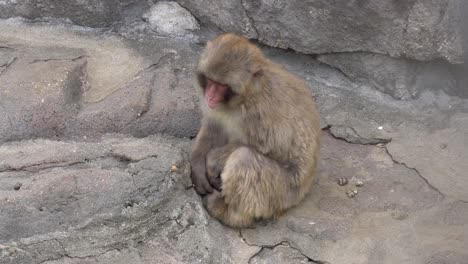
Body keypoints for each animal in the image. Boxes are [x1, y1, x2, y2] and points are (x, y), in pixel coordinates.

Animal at [188, 33, 320, 227]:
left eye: (221, 86)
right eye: (211, 81)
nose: (210, 96)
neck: (243, 98)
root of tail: (307, 184)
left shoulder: (261, 112)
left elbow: (271, 148)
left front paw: (213, 160)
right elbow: (213, 127)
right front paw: (197, 165)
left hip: (284, 192)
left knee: (245, 159)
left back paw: (229, 213)